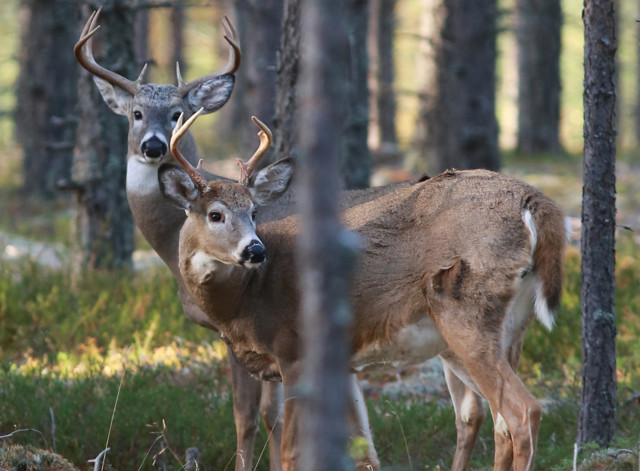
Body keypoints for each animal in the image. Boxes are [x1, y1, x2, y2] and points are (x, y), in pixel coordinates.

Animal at [160, 111, 564, 471]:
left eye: (255, 211)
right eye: (215, 214)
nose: (255, 250)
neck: (247, 299)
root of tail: (537, 202)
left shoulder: (294, 351)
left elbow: (292, 451)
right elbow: (355, 449)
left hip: (468, 314)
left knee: (523, 411)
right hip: (508, 329)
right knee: (500, 422)